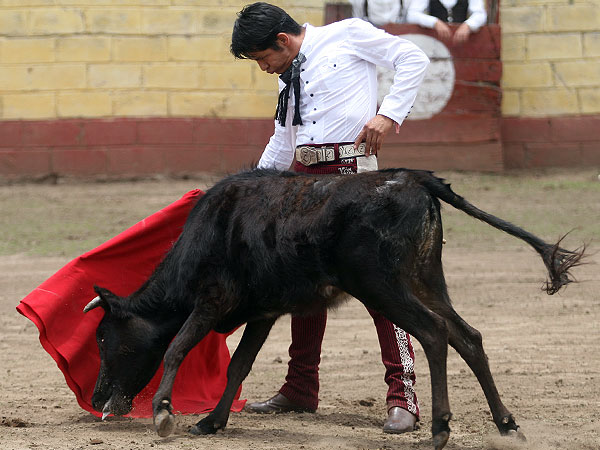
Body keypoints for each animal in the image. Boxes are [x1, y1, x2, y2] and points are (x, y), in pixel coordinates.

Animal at [83, 167, 580, 448]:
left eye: (105, 339)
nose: (99, 400)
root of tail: (414, 179)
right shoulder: (263, 312)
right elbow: (239, 365)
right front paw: (211, 423)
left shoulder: (212, 299)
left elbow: (177, 346)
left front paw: (164, 414)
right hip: (426, 279)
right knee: (467, 336)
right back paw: (507, 425)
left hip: (383, 286)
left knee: (434, 333)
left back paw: (440, 429)